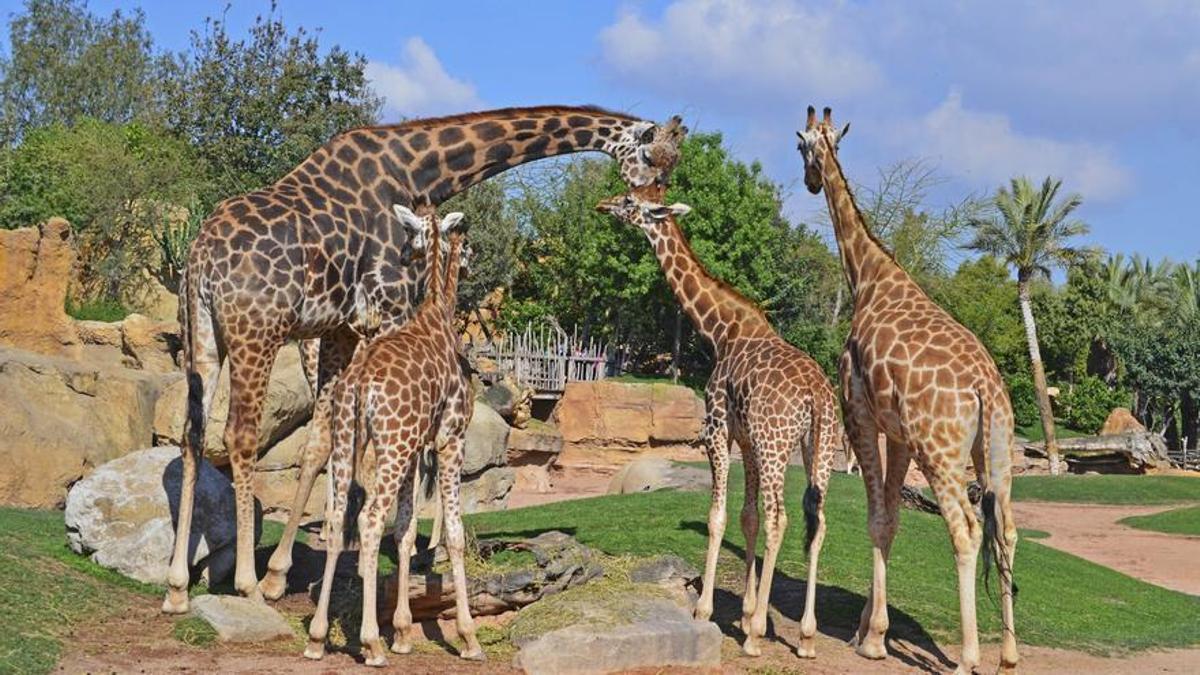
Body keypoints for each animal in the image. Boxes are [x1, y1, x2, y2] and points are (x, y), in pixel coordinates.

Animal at [163, 103, 686, 610]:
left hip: (201, 334)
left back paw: (177, 586)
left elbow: (325, 444)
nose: (659, 209)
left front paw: (289, 570)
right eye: (652, 158)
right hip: (257, 332)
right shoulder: (387, 308)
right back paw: (245, 584)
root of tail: (201, 254)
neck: (419, 169)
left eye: (670, 165)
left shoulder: (339, 327)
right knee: (240, 435)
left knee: (192, 433)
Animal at [304, 204, 482, 662]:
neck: (438, 311)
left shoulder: (417, 449)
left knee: (337, 520)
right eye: (467, 246)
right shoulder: (450, 439)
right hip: (393, 447)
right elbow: (454, 532)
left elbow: (404, 532)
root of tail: (360, 383)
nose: (403, 255)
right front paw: (468, 637)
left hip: (349, 440)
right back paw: (370, 643)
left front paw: (402, 632)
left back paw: (317, 638)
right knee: (368, 520)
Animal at [592, 189, 840, 658]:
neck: (720, 331)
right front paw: (743, 611)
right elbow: (747, 517)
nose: (602, 205)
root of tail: (817, 394)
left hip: (776, 443)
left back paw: (758, 635)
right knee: (817, 522)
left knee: (781, 518)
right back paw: (806, 636)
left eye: (630, 201)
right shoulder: (746, 440)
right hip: (818, 447)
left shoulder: (718, 431)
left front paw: (709, 611)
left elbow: (718, 516)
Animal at [796, 107, 1022, 667]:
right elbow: (892, 519)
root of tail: (986, 389)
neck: (868, 277)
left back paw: (967, 658)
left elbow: (877, 517)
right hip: (996, 449)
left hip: (939, 450)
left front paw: (874, 639)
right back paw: (1008, 655)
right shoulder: (897, 432)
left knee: (966, 530)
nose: (810, 181)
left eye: (800, 147)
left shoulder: (858, 412)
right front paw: (866, 630)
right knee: (1006, 530)